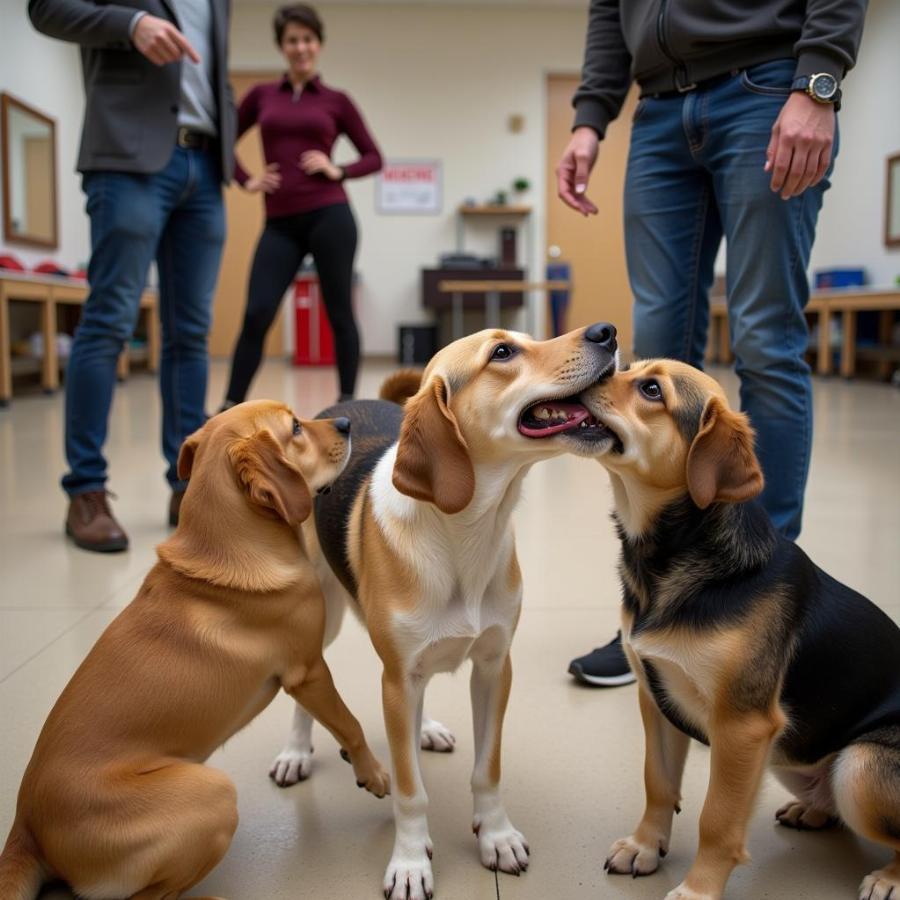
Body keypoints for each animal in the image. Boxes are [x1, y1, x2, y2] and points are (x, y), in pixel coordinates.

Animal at [0, 402, 386, 900]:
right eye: (295, 428)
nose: (345, 422)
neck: (229, 546)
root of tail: (26, 827)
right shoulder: (308, 671)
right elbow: (349, 724)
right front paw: (373, 773)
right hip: (214, 795)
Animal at [268, 326, 620, 896]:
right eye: (502, 352)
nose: (606, 332)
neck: (464, 533)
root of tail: (347, 404)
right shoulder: (395, 682)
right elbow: (410, 791)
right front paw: (411, 861)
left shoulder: (494, 667)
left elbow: (487, 770)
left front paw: (496, 836)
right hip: (324, 615)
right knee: (308, 688)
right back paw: (297, 752)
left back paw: (425, 727)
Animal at [576, 358, 900, 900]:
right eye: (631, 367)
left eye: (651, 389)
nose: (597, 362)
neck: (676, 552)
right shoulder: (655, 697)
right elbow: (657, 783)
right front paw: (645, 847)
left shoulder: (743, 727)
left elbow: (719, 819)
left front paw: (698, 889)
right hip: (793, 759)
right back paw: (811, 810)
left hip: (857, 768)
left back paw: (889, 878)